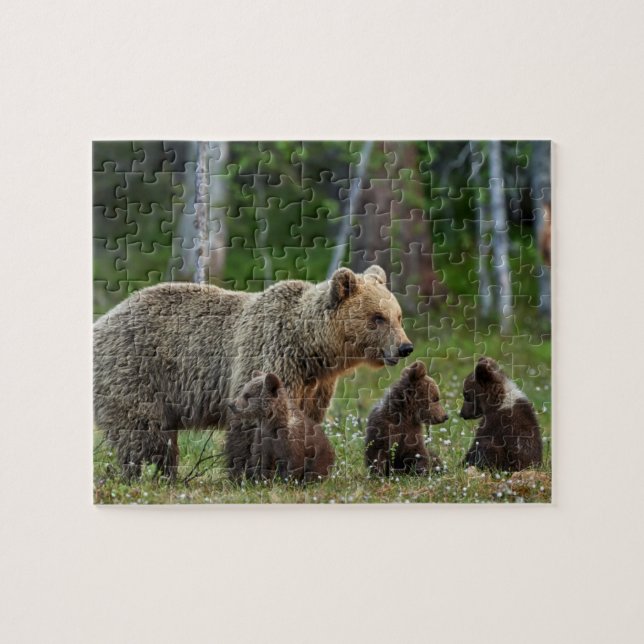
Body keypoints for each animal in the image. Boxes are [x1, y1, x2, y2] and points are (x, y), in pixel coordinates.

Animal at [93, 265, 411, 478]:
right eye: (377, 318)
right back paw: (153, 474)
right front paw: (253, 472)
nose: (404, 347)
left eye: (398, 316)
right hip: (136, 372)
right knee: (144, 430)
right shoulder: (270, 354)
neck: (310, 348)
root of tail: (102, 321)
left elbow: (307, 419)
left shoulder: (315, 384)